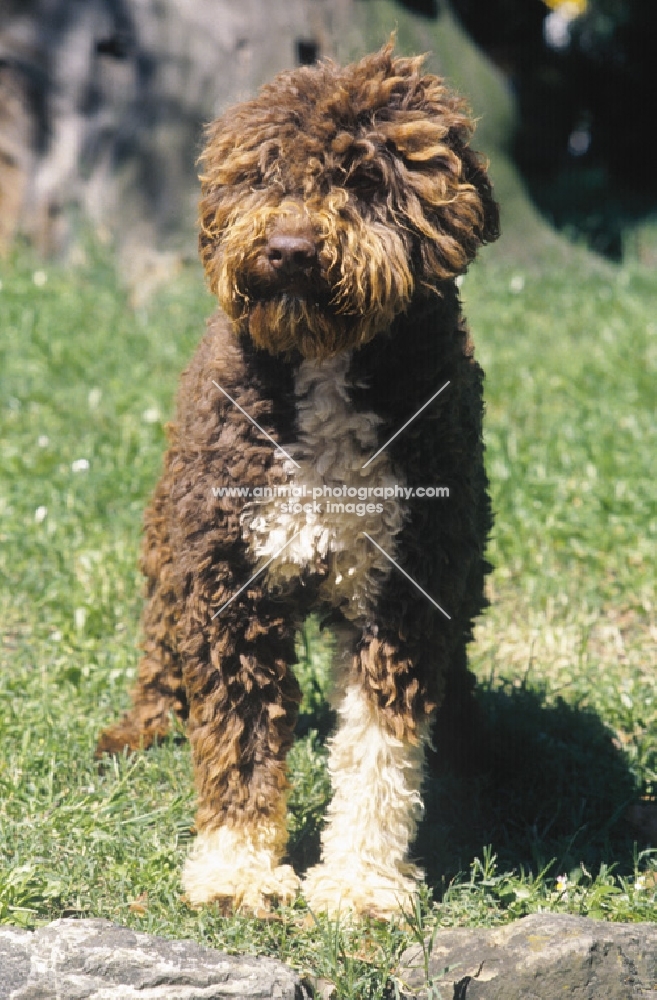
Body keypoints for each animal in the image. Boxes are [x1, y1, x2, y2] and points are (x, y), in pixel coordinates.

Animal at [96, 39, 498, 916]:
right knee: (158, 637)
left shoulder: (405, 590)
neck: (324, 365)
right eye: (263, 173)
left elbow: (379, 750)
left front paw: (359, 884)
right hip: (171, 541)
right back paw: (141, 726)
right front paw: (236, 873)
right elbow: (239, 740)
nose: (287, 248)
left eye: (366, 179)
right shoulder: (227, 589)